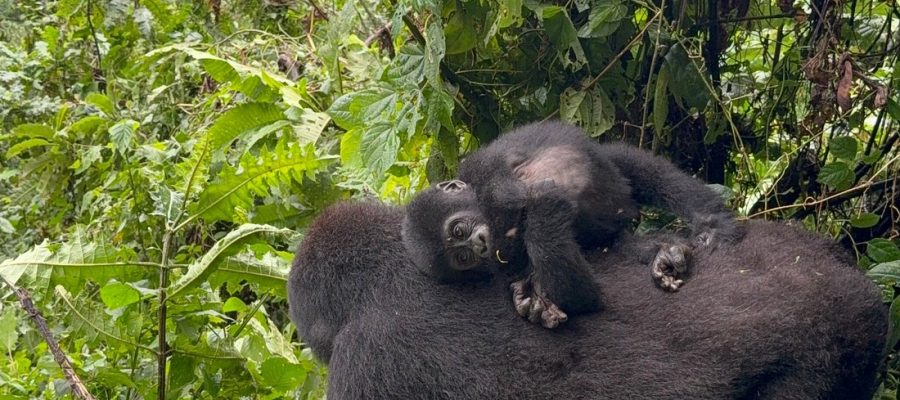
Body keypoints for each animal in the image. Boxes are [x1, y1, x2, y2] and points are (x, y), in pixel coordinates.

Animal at [404, 120, 741, 327]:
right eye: (462, 257)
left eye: (458, 230)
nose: (479, 245)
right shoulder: (504, 267)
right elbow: (580, 296)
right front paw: (534, 297)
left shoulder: (484, 174)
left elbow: (514, 193)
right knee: (615, 241)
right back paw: (661, 252)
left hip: (613, 170)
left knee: (641, 168)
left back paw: (711, 220)